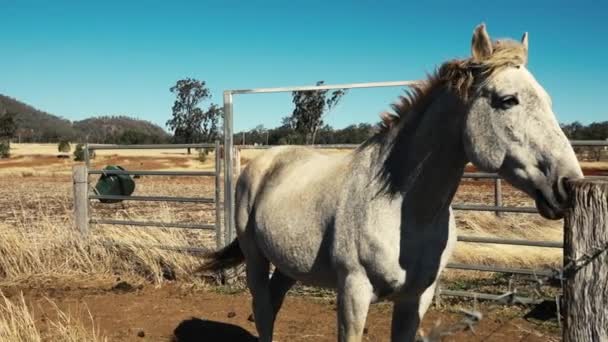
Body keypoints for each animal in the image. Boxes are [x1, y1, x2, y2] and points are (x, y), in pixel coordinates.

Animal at [201, 22, 584, 340]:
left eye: (548, 100)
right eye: (507, 100)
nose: (567, 184)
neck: (402, 208)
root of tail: (261, 163)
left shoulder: (416, 297)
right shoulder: (353, 293)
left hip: (289, 263)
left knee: (274, 303)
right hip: (255, 257)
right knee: (263, 309)